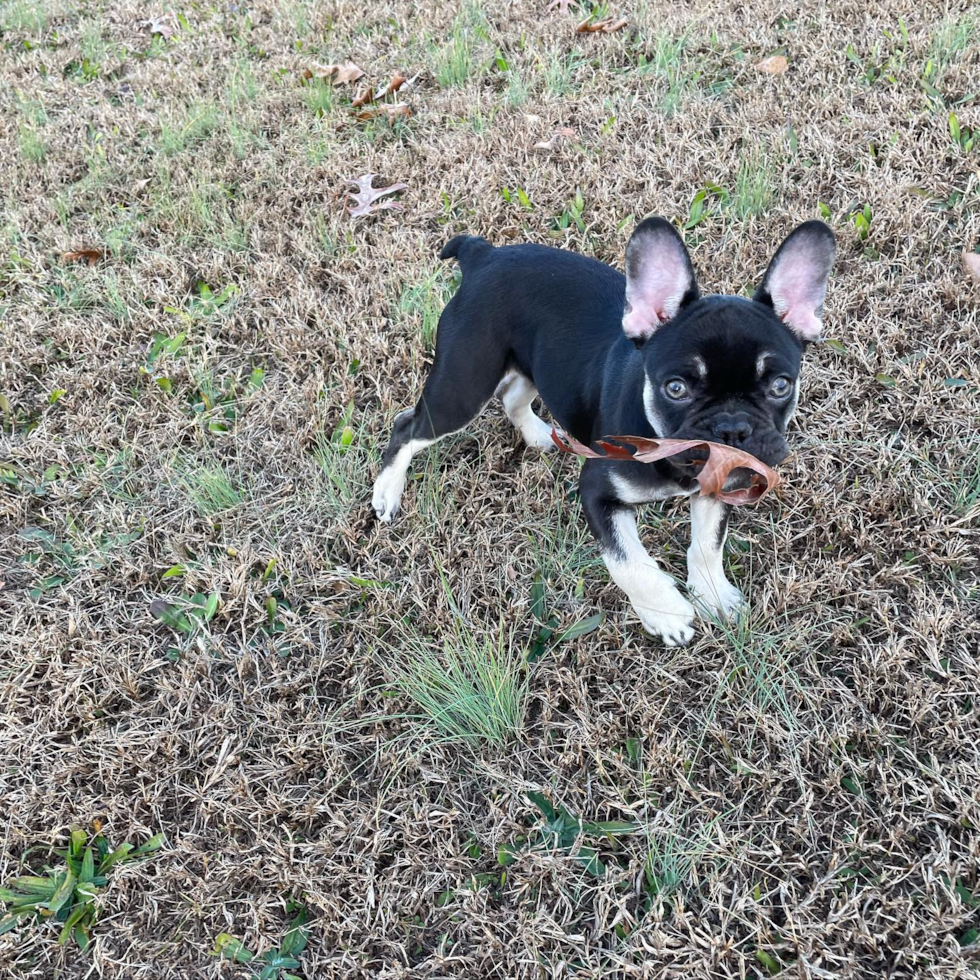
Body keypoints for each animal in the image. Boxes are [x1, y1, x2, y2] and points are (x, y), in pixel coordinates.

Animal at [372, 223, 832, 652]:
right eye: (676, 388)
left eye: (781, 385)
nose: (732, 427)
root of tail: (483, 255)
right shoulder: (596, 492)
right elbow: (627, 560)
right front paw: (666, 612)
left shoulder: (718, 485)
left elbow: (707, 543)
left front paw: (713, 593)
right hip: (464, 386)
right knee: (408, 426)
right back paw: (387, 492)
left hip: (534, 366)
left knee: (513, 397)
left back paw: (539, 434)